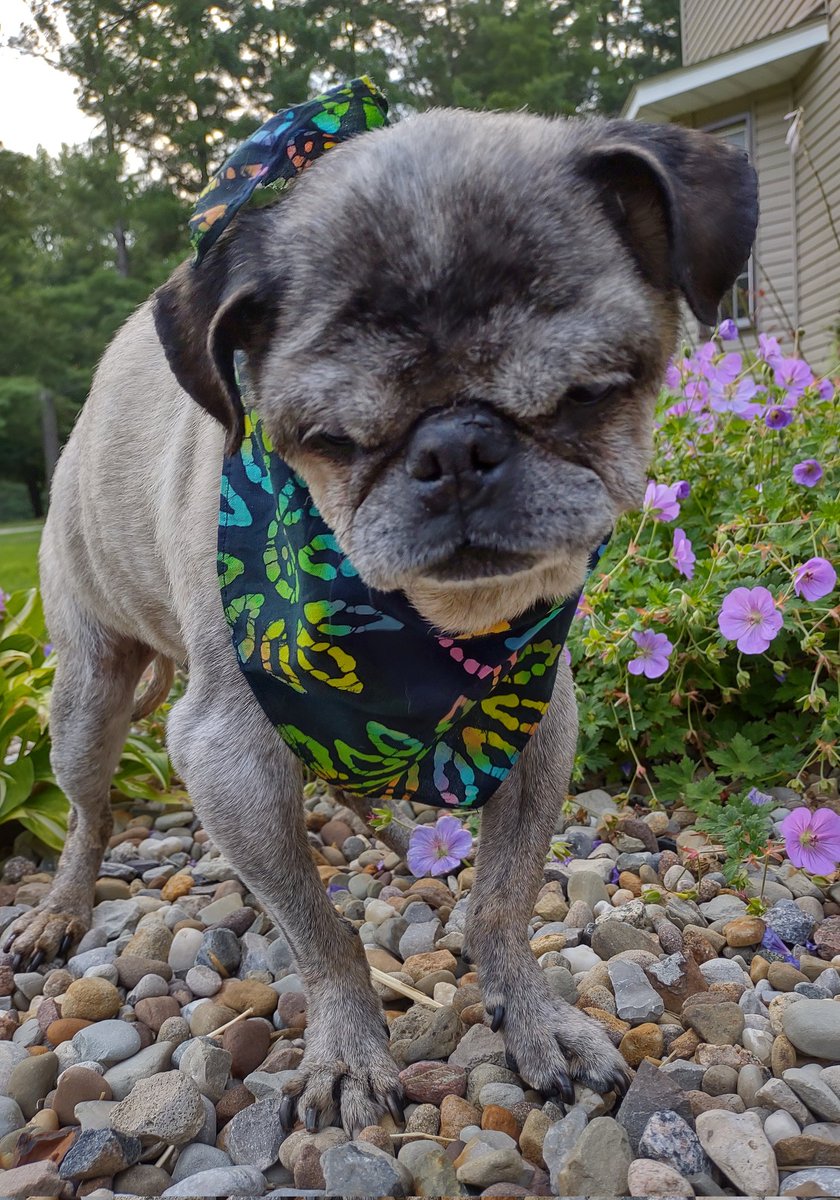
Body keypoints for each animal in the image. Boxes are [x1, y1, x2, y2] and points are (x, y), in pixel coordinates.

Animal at [3, 105, 758, 1132]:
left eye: (587, 395)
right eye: (331, 441)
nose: (456, 448)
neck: (424, 633)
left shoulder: (536, 727)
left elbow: (502, 905)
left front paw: (531, 1017)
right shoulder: (226, 758)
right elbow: (320, 934)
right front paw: (352, 1049)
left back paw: (403, 839)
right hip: (84, 702)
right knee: (87, 812)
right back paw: (63, 905)